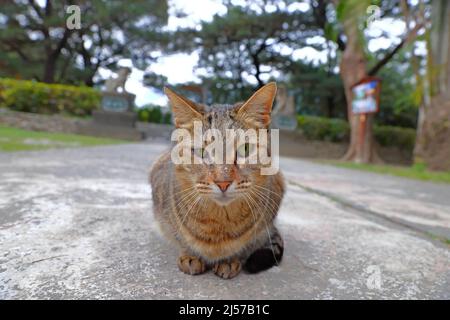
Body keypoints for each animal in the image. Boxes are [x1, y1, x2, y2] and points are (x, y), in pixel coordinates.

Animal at [151, 83, 284, 280]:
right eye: (201, 151)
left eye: (245, 149)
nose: (223, 182)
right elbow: (179, 237)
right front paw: (190, 254)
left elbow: (245, 246)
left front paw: (229, 260)